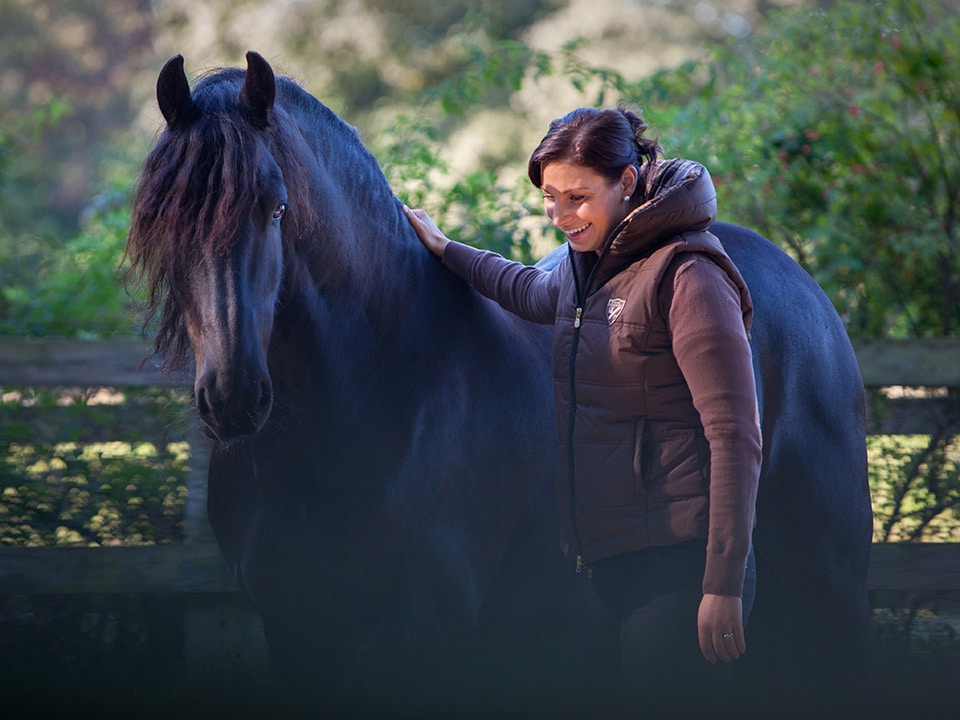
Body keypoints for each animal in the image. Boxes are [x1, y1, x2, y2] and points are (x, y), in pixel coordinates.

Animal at [125, 52, 872, 714]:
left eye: (277, 209)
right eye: (164, 220)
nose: (234, 399)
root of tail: (802, 287)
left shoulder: (419, 628)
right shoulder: (294, 628)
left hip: (828, 588)